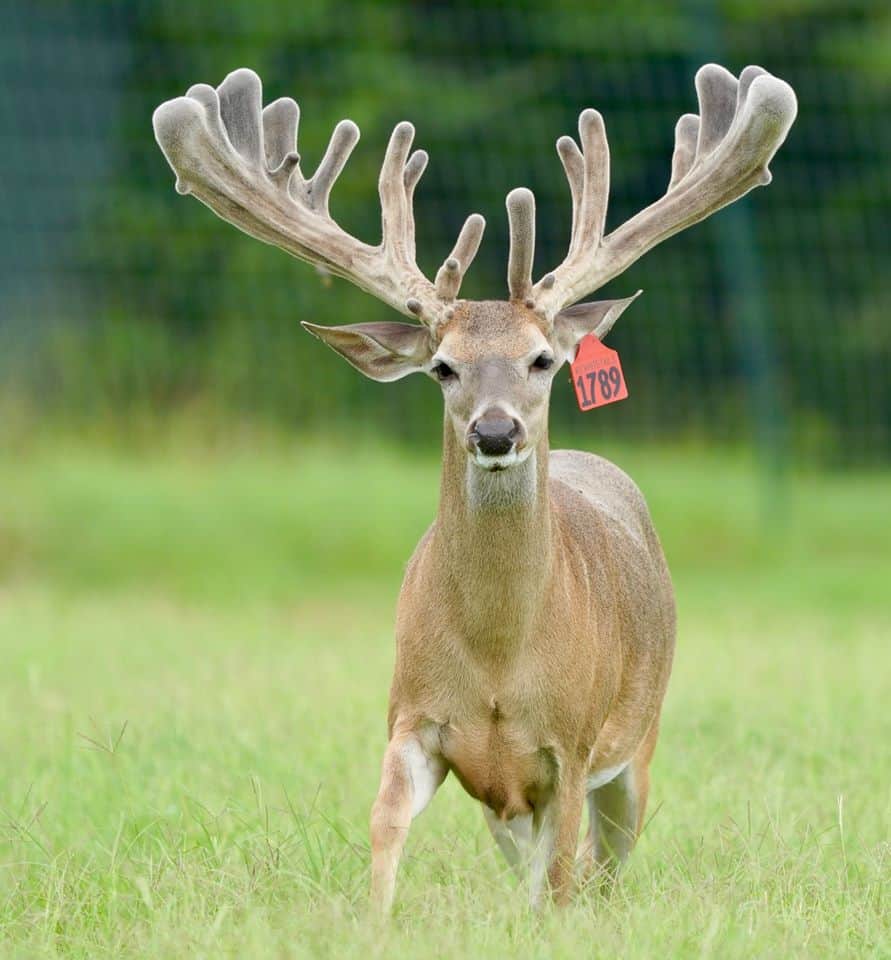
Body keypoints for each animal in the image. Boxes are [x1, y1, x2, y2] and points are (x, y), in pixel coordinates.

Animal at [153, 62, 796, 912]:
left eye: (542, 360)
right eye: (441, 367)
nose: (495, 433)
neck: (497, 661)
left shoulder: (569, 744)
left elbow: (560, 880)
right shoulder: (414, 719)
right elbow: (384, 829)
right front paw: (374, 921)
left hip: (639, 738)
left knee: (603, 863)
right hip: (506, 798)